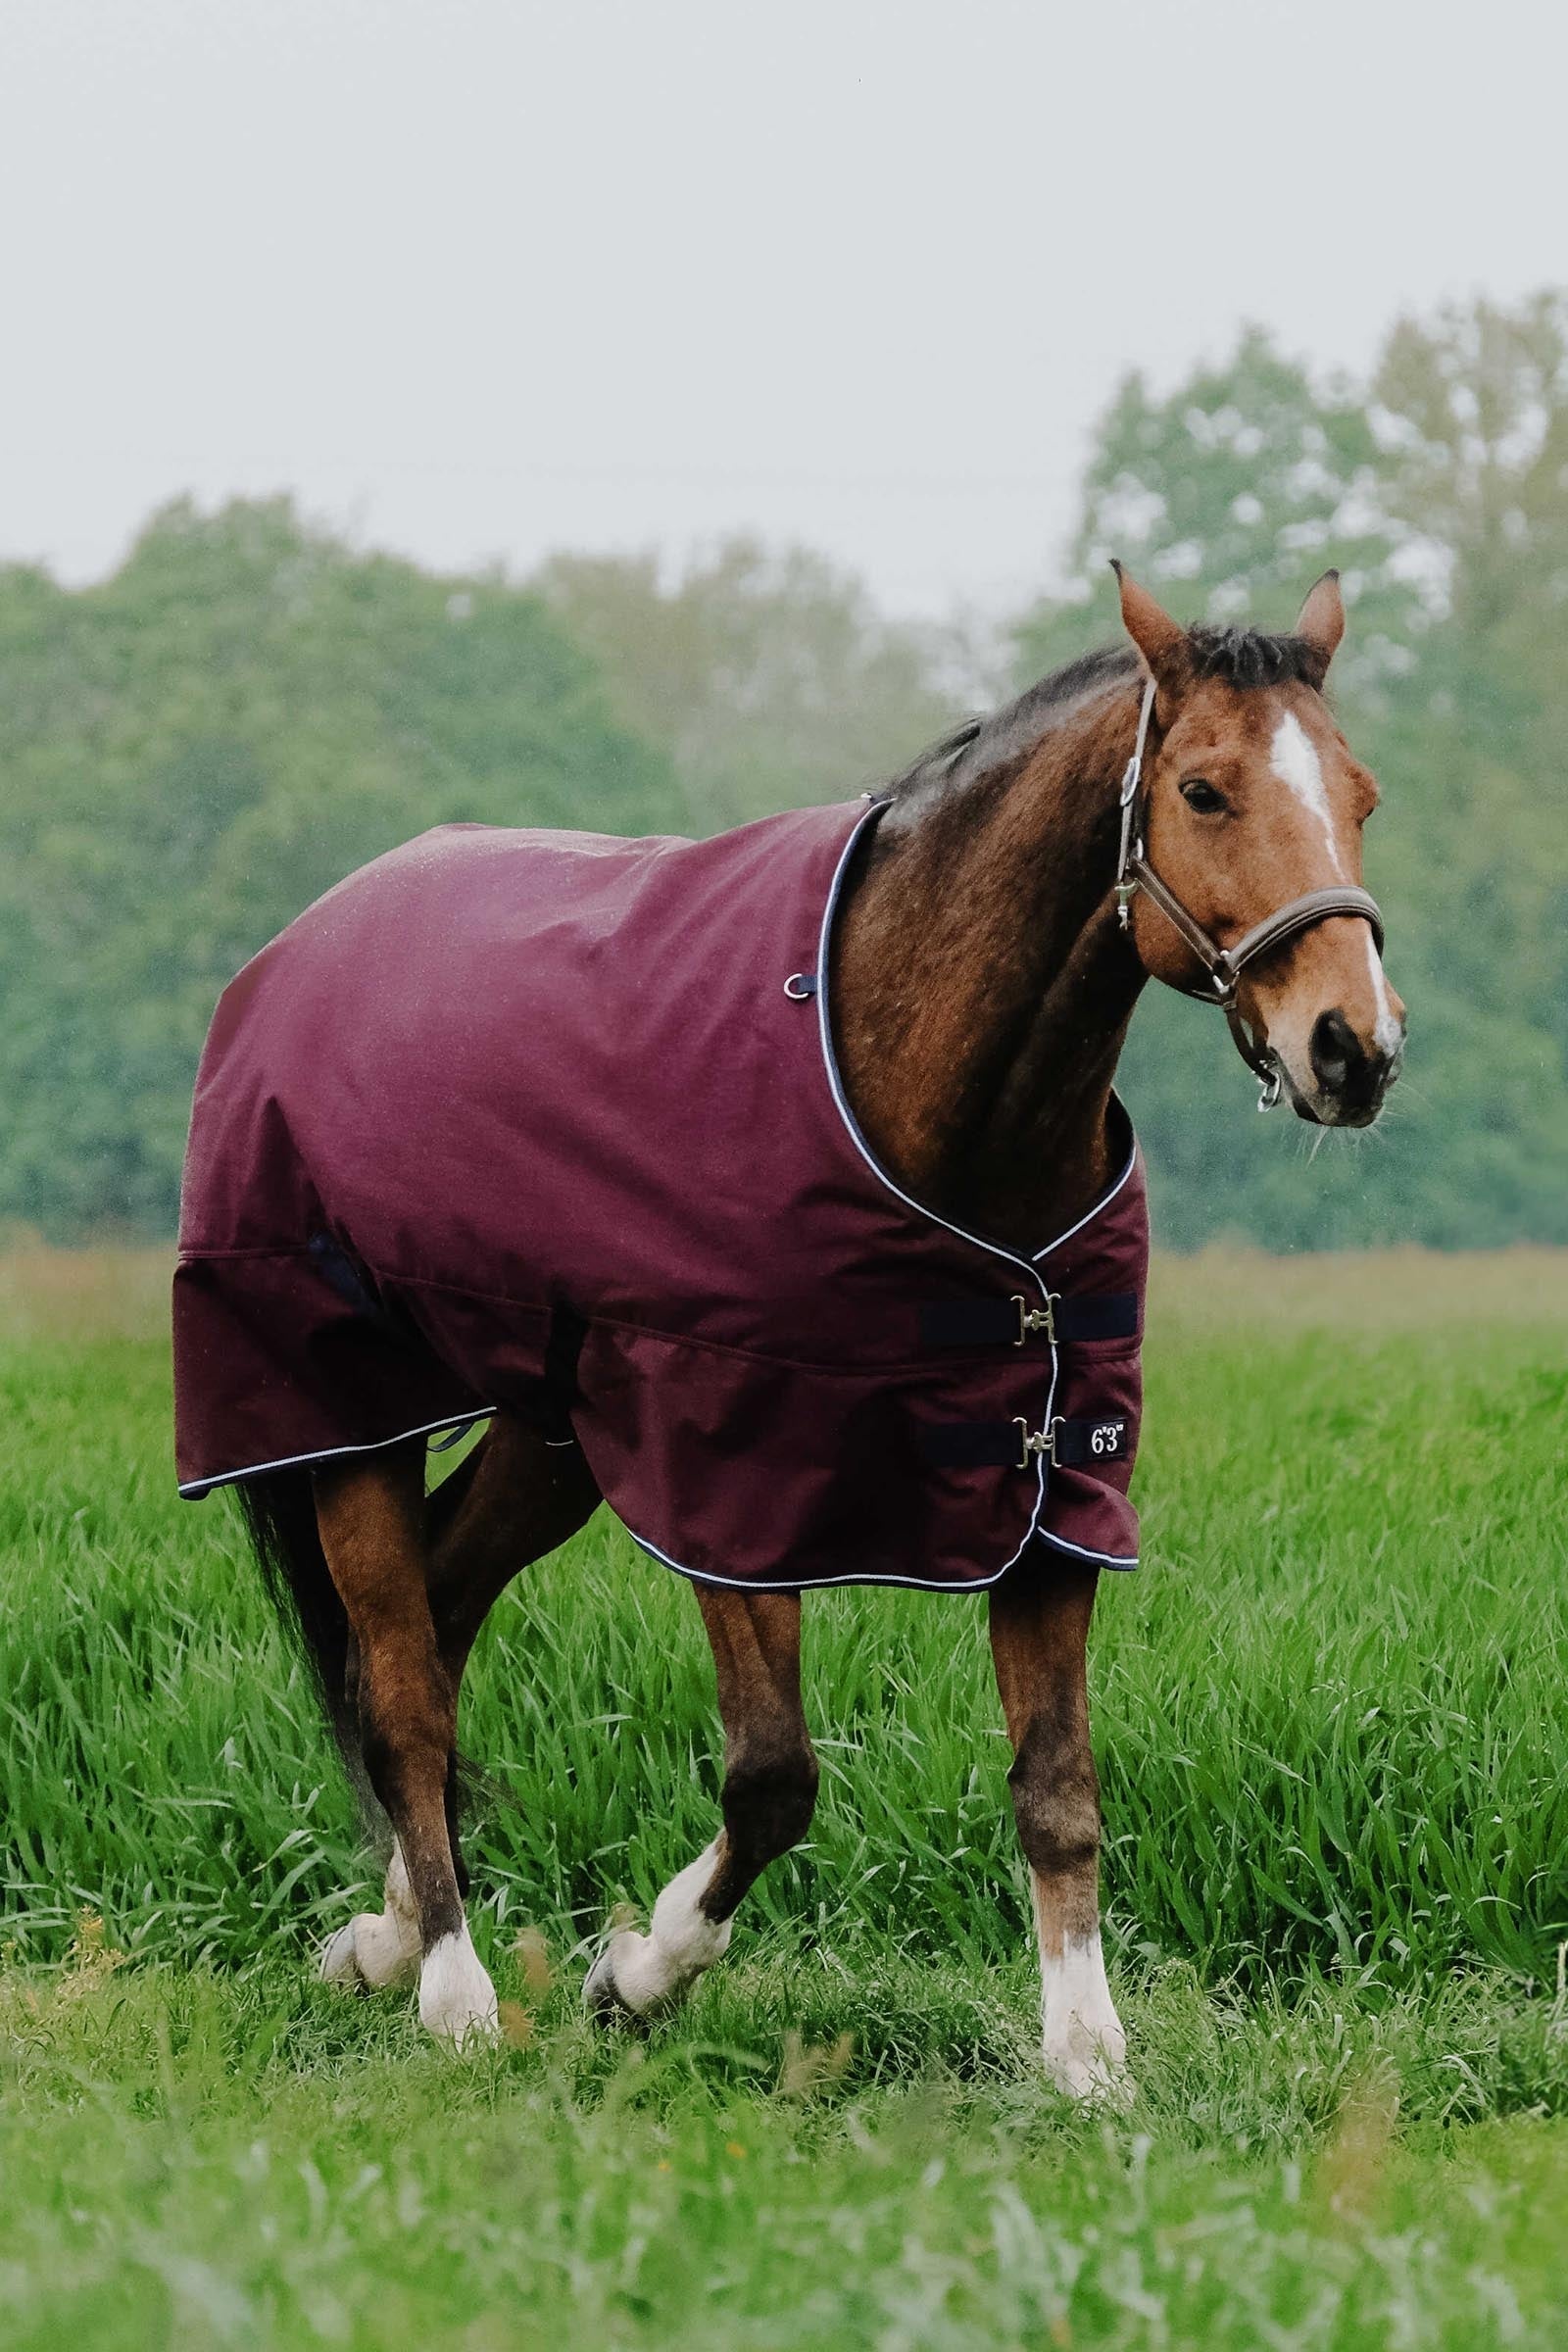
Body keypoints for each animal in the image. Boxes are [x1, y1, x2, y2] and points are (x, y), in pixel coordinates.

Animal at [172, 564, 1403, 2096]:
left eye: (1361, 794)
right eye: (1204, 789)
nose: (1354, 1048)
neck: (913, 1078)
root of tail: (292, 953)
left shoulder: (1051, 1481)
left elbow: (1058, 1789)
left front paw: (1089, 2057)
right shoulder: (731, 1473)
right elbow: (771, 1779)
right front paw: (636, 1976)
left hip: (550, 1433)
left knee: (443, 1615)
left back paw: (382, 1940)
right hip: (349, 1412)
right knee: (399, 1676)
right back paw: (451, 1988)